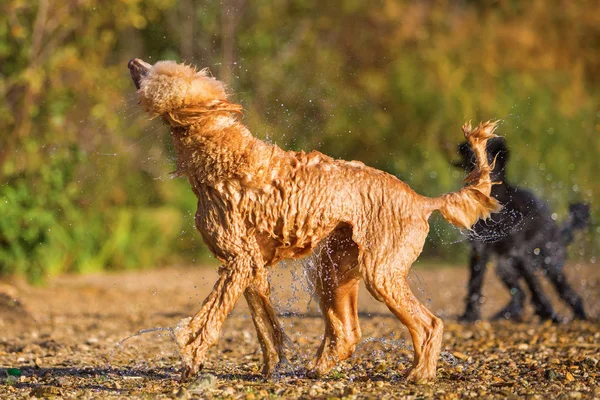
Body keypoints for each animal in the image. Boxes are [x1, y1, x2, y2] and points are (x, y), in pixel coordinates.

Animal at [452, 138, 588, 322]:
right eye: (468, 155)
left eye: (487, 156)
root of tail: (558, 230)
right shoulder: (479, 251)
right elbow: (474, 284)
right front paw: (469, 316)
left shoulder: (519, 253)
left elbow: (535, 286)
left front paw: (551, 315)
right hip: (504, 266)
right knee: (520, 294)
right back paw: (508, 314)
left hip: (549, 263)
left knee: (568, 293)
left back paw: (580, 316)